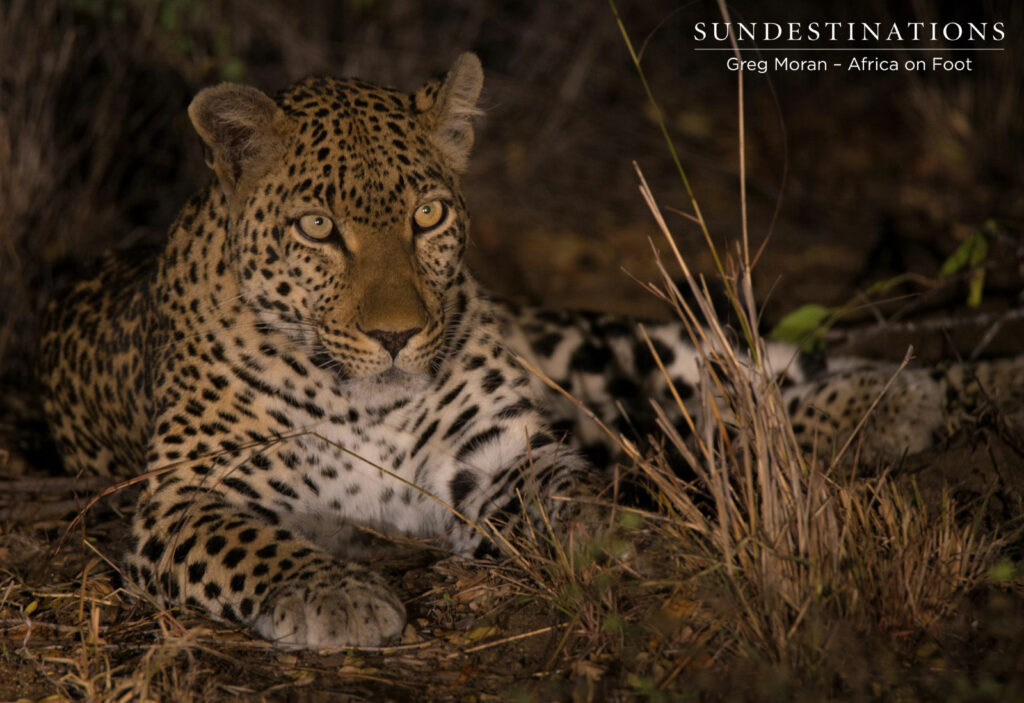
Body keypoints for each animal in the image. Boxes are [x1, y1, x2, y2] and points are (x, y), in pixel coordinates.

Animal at [39, 53, 1024, 649]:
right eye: (319, 229)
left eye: (427, 214)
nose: (396, 334)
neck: (360, 397)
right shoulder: (184, 495)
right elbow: (254, 541)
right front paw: (337, 595)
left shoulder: (490, 454)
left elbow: (566, 487)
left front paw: (619, 533)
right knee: (720, 413)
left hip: (613, 351)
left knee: (748, 377)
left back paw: (916, 397)